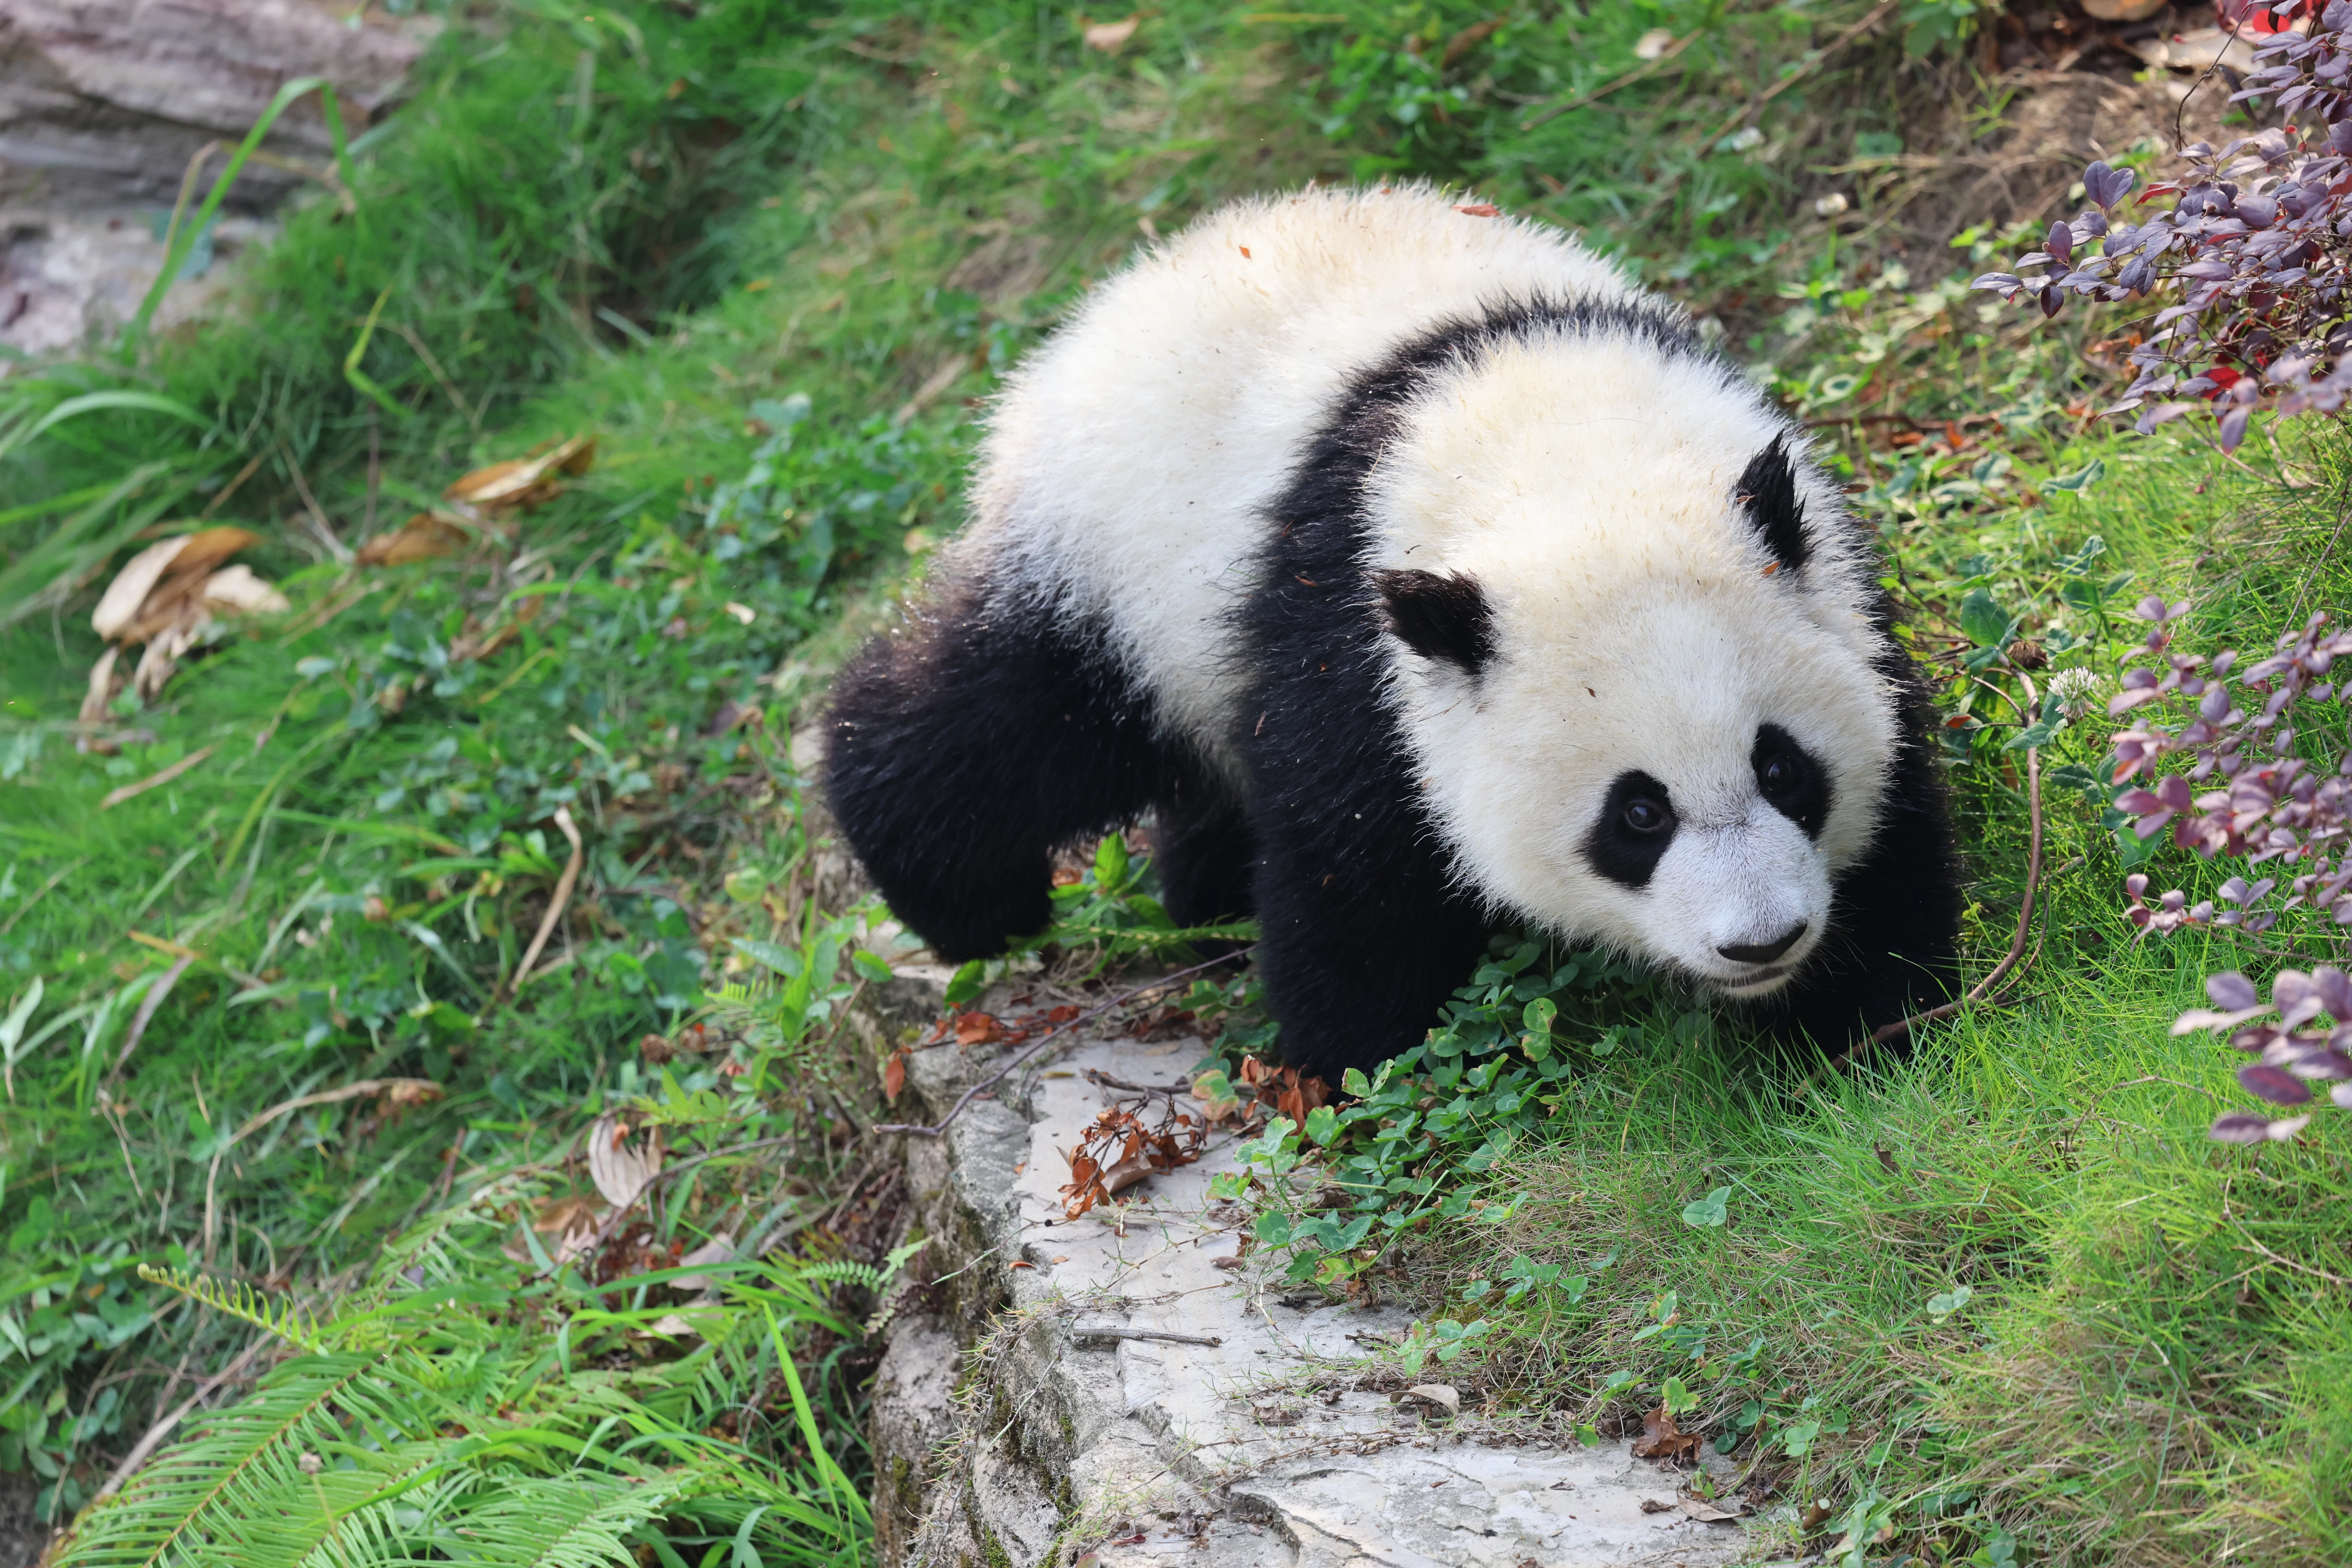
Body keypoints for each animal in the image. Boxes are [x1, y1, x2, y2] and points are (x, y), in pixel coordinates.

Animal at [823, 184, 1962, 1082]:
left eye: (1782, 768)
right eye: (1637, 814)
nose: (1762, 941)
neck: (1572, 462)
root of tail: (1106, 304)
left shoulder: (1828, 573)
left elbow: (1895, 805)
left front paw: (1859, 1027)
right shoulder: (1349, 640)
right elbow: (1353, 873)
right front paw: (1359, 1064)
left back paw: (1200, 888)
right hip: (1111, 566)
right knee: (1013, 722)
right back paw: (966, 899)